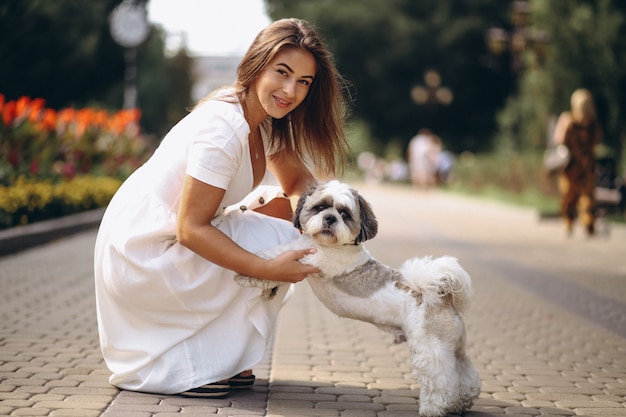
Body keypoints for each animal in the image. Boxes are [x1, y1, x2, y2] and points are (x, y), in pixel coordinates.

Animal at [233, 180, 478, 416]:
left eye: (344, 213)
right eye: (320, 207)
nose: (330, 217)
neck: (329, 244)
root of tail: (439, 294)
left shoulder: (306, 259)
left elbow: (272, 257)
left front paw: (248, 274)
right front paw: (268, 287)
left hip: (429, 348)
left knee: (440, 379)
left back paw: (434, 408)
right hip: (454, 349)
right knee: (466, 375)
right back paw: (462, 401)